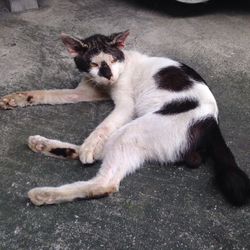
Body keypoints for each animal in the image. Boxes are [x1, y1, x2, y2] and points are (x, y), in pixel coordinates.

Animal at [0, 29, 249, 205]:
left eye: (112, 60)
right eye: (93, 64)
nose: (109, 76)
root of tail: (212, 124)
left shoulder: (126, 106)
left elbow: (101, 127)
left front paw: (89, 144)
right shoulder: (86, 91)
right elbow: (49, 93)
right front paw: (16, 98)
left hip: (133, 132)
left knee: (105, 182)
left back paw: (44, 193)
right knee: (100, 154)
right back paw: (44, 145)